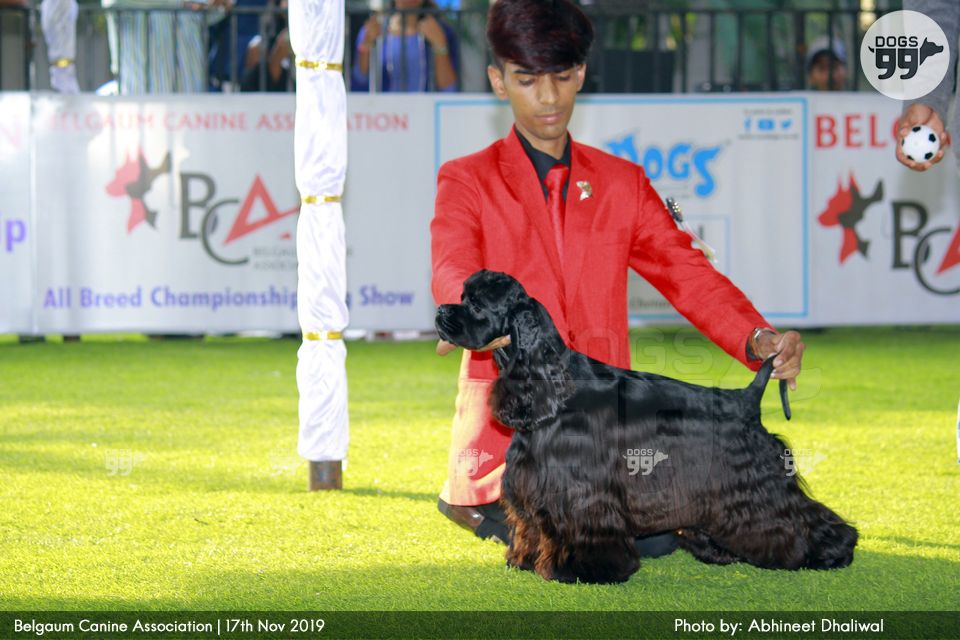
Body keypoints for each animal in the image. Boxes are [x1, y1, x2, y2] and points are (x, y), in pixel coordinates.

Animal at [435, 270, 857, 584]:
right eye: (461, 295)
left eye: (475, 304)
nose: (440, 310)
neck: (551, 384)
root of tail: (747, 400)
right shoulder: (533, 482)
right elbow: (532, 524)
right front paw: (524, 560)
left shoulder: (581, 489)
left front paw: (582, 569)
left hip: (756, 482)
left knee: (797, 514)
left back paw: (833, 550)